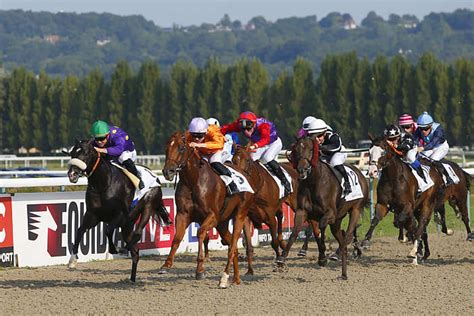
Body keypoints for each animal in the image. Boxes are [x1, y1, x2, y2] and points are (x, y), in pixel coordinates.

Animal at [65, 139, 170, 282]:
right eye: (71, 153)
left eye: (85, 153)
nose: (72, 174)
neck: (104, 183)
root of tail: (156, 177)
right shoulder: (93, 215)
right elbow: (80, 230)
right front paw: (72, 261)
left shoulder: (120, 215)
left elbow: (108, 230)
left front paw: (116, 249)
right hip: (128, 224)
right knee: (135, 252)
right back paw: (132, 278)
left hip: (147, 206)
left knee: (137, 234)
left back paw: (124, 249)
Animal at [160, 132, 256, 288]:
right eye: (166, 148)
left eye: (181, 148)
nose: (168, 171)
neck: (194, 181)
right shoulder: (182, 215)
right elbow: (177, 238)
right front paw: (166, 264)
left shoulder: (213, 216)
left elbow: (200, 233)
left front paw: (200, 269)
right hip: (222, 224)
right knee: (233, 247)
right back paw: (235, 278)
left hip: (240, 215)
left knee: (233, 246)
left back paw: (224, 278)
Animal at [276, 136, 368, 278]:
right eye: (296, 149)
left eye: (311, 149)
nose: (302, 170)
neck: (314, 182)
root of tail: (361, 174)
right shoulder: (302, 212)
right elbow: (296, 232)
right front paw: (282, 257)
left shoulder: (330, 214)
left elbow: (322, 227)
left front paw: (323, 257)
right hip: (338, 220)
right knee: (342, 236)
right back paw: (344, 263)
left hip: (355, 210)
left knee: (348, 234)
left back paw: (341, 254)